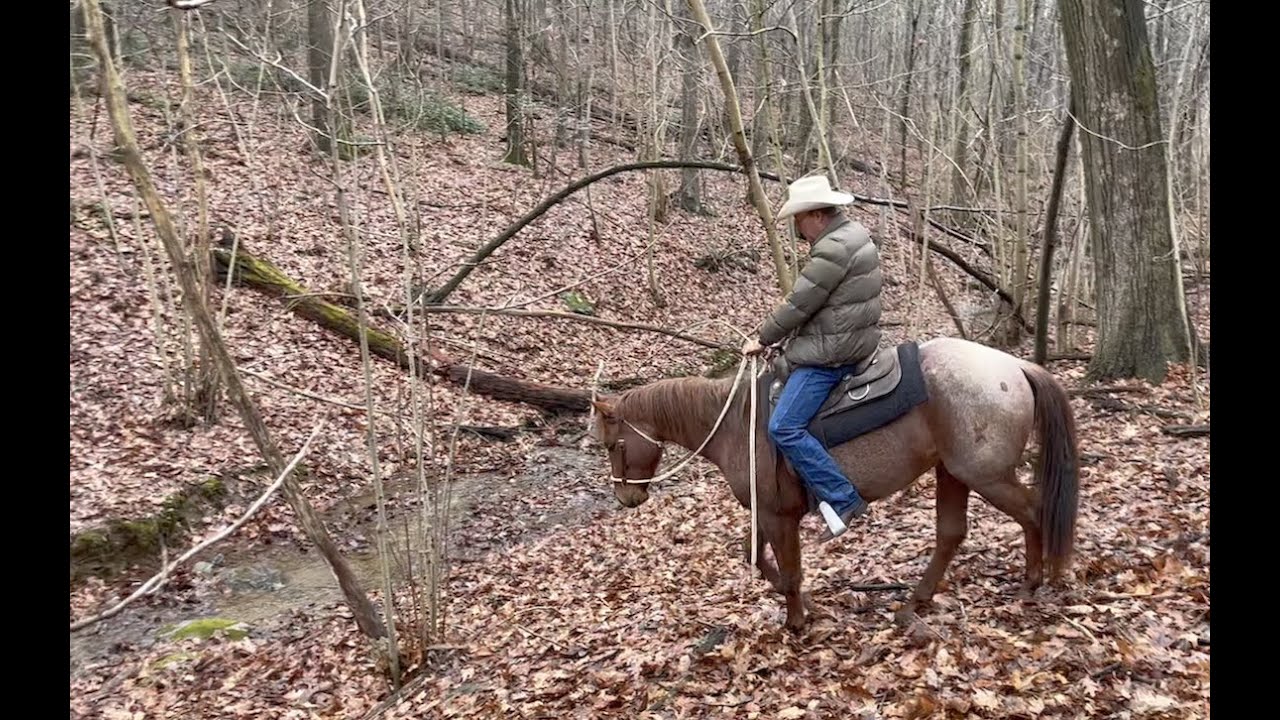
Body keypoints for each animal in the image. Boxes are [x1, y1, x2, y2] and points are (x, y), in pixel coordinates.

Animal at [588, 336, 1080, 632]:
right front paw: (804, 606)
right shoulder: (767, 512)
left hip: (985, 475)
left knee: (1033, 512)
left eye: (612, 444)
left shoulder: (778, 514)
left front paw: (796, 622)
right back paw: (913, 604)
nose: (626, 496)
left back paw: (1030, 585)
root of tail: (1015, 366)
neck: (735, 423)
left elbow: (788, 571)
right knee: (951, 534)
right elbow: (755, 556)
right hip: (952, 472)